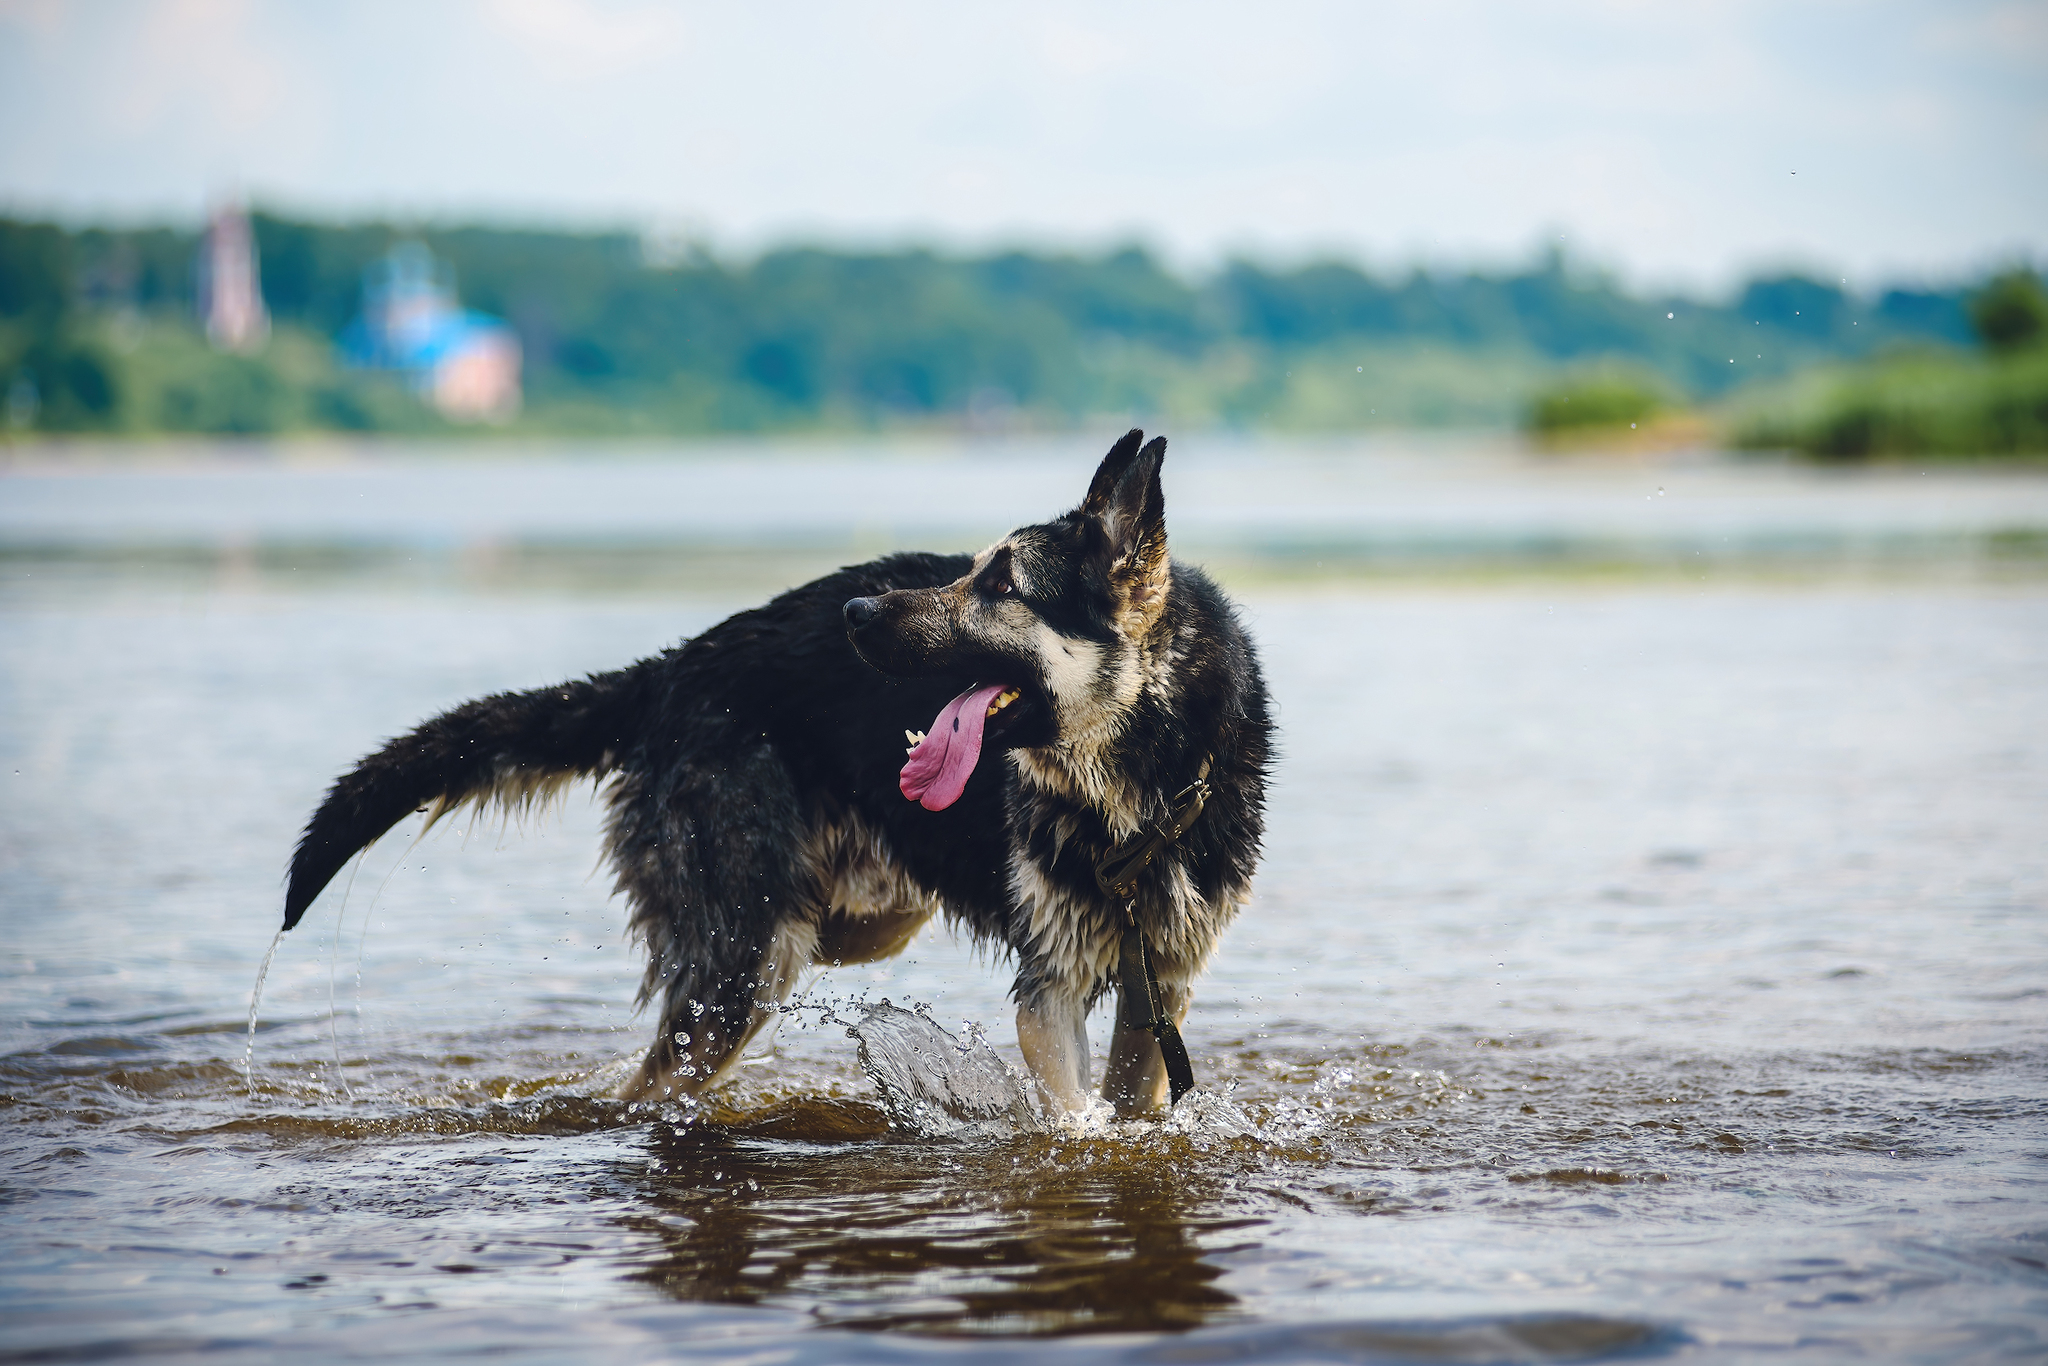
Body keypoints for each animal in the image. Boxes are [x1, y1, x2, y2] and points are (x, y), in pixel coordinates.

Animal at [280, 432, 1269, 1114]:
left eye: (1002, 585)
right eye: (968, 571)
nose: (856, 613)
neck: (1136, 790)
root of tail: (672, 669)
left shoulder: (1157, 996)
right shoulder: (1052, 992)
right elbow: (1075, 1118)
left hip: (854, 922)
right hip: (750, 960)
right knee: (654, 1080)